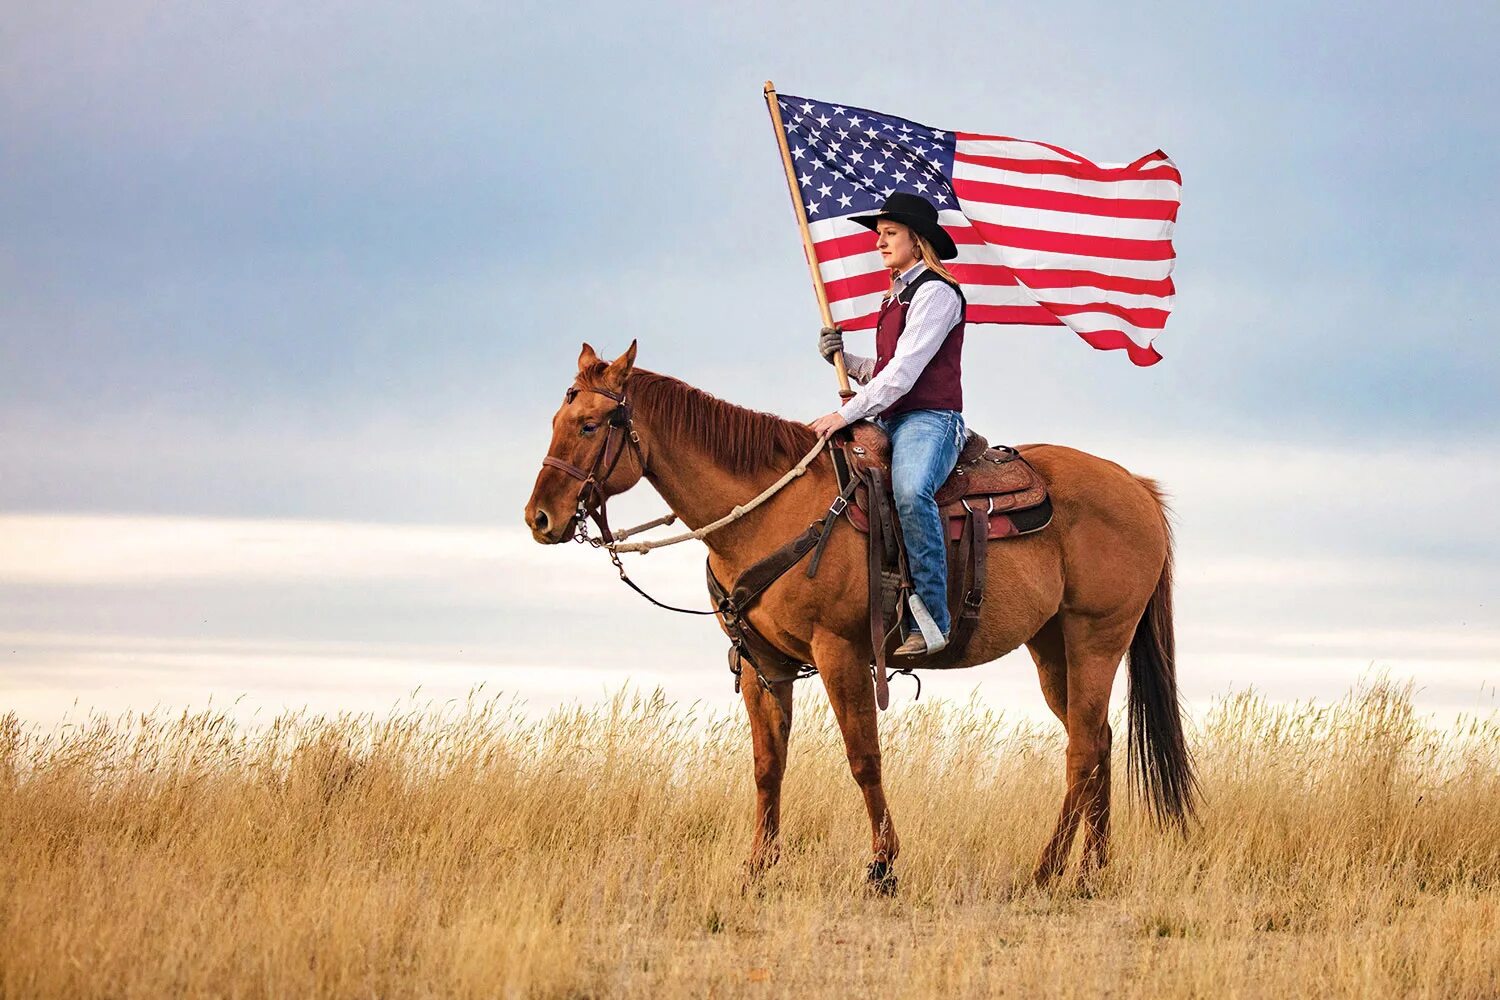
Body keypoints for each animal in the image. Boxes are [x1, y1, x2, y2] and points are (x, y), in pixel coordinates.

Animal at [522, 340, 1200, 887]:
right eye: (556, 419)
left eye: (590, 425)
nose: (539, 518)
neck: (773, 511)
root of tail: (1136, 487)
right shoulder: (762, 662)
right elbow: (768, 765)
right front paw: (757, 867)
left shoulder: (840, 650)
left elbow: (862, 756)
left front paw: (882, 865)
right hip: (1052, 647)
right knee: (1099, 740)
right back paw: (1092, 871)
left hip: (1096, 638)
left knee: (1082, 749)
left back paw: (1048, 868)